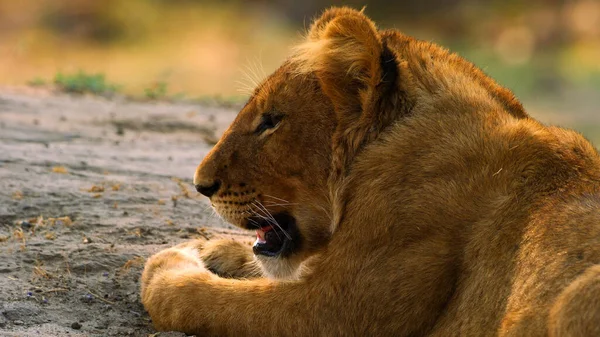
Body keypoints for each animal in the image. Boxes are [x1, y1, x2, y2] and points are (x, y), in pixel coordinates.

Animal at [141, 6, 600, 334]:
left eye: (271, 120)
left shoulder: (336, 311)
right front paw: (209, 249)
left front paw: (167, 267)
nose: (201, 185)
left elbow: (208, 301)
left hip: (574, 295)